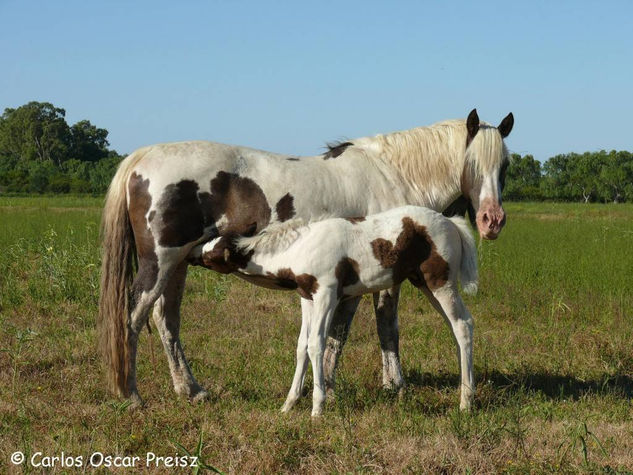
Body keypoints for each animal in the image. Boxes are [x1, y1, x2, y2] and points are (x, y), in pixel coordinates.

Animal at [194, 205, 478, 416]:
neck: (301, 248)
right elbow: (301, 346)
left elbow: (316, 344)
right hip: (424, 284)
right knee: (457, 327)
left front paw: (317, 408)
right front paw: (288, 404)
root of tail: (452, 223)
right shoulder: (307, 297)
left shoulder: (326, 295)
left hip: (440, 282)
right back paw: (465, 389)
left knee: (463, 324)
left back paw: (466, 402)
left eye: (211, 254)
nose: (192, 254)